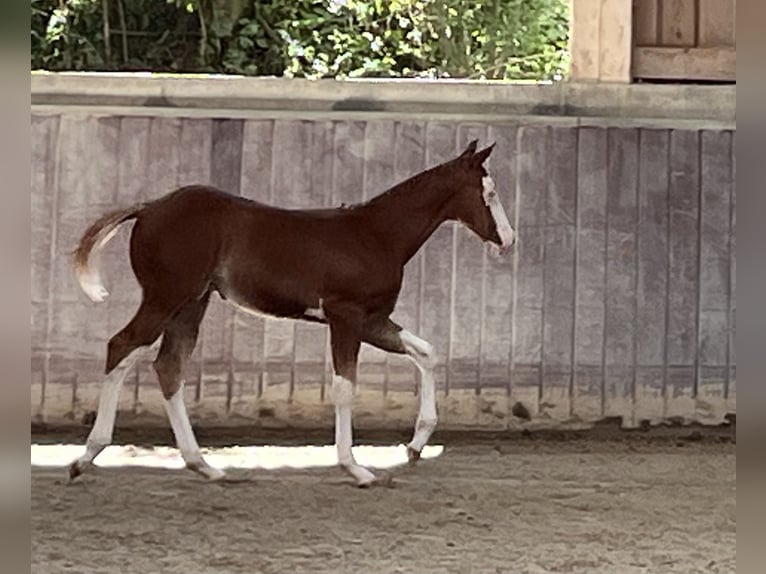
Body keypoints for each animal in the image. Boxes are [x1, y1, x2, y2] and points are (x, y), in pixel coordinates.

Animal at [67, 139, 515, 487]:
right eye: (489, 194)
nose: (509, 240)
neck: (376, 235)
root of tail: (147, 207)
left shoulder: (372, 320)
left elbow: (427, 352)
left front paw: (415, 446)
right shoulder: (346, 316)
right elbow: (345, 387)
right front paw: (356, 469)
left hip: (191, 303)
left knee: (168, 365)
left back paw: (204, 466)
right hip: (165, 297)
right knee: (122, 346)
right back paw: (85, 458)